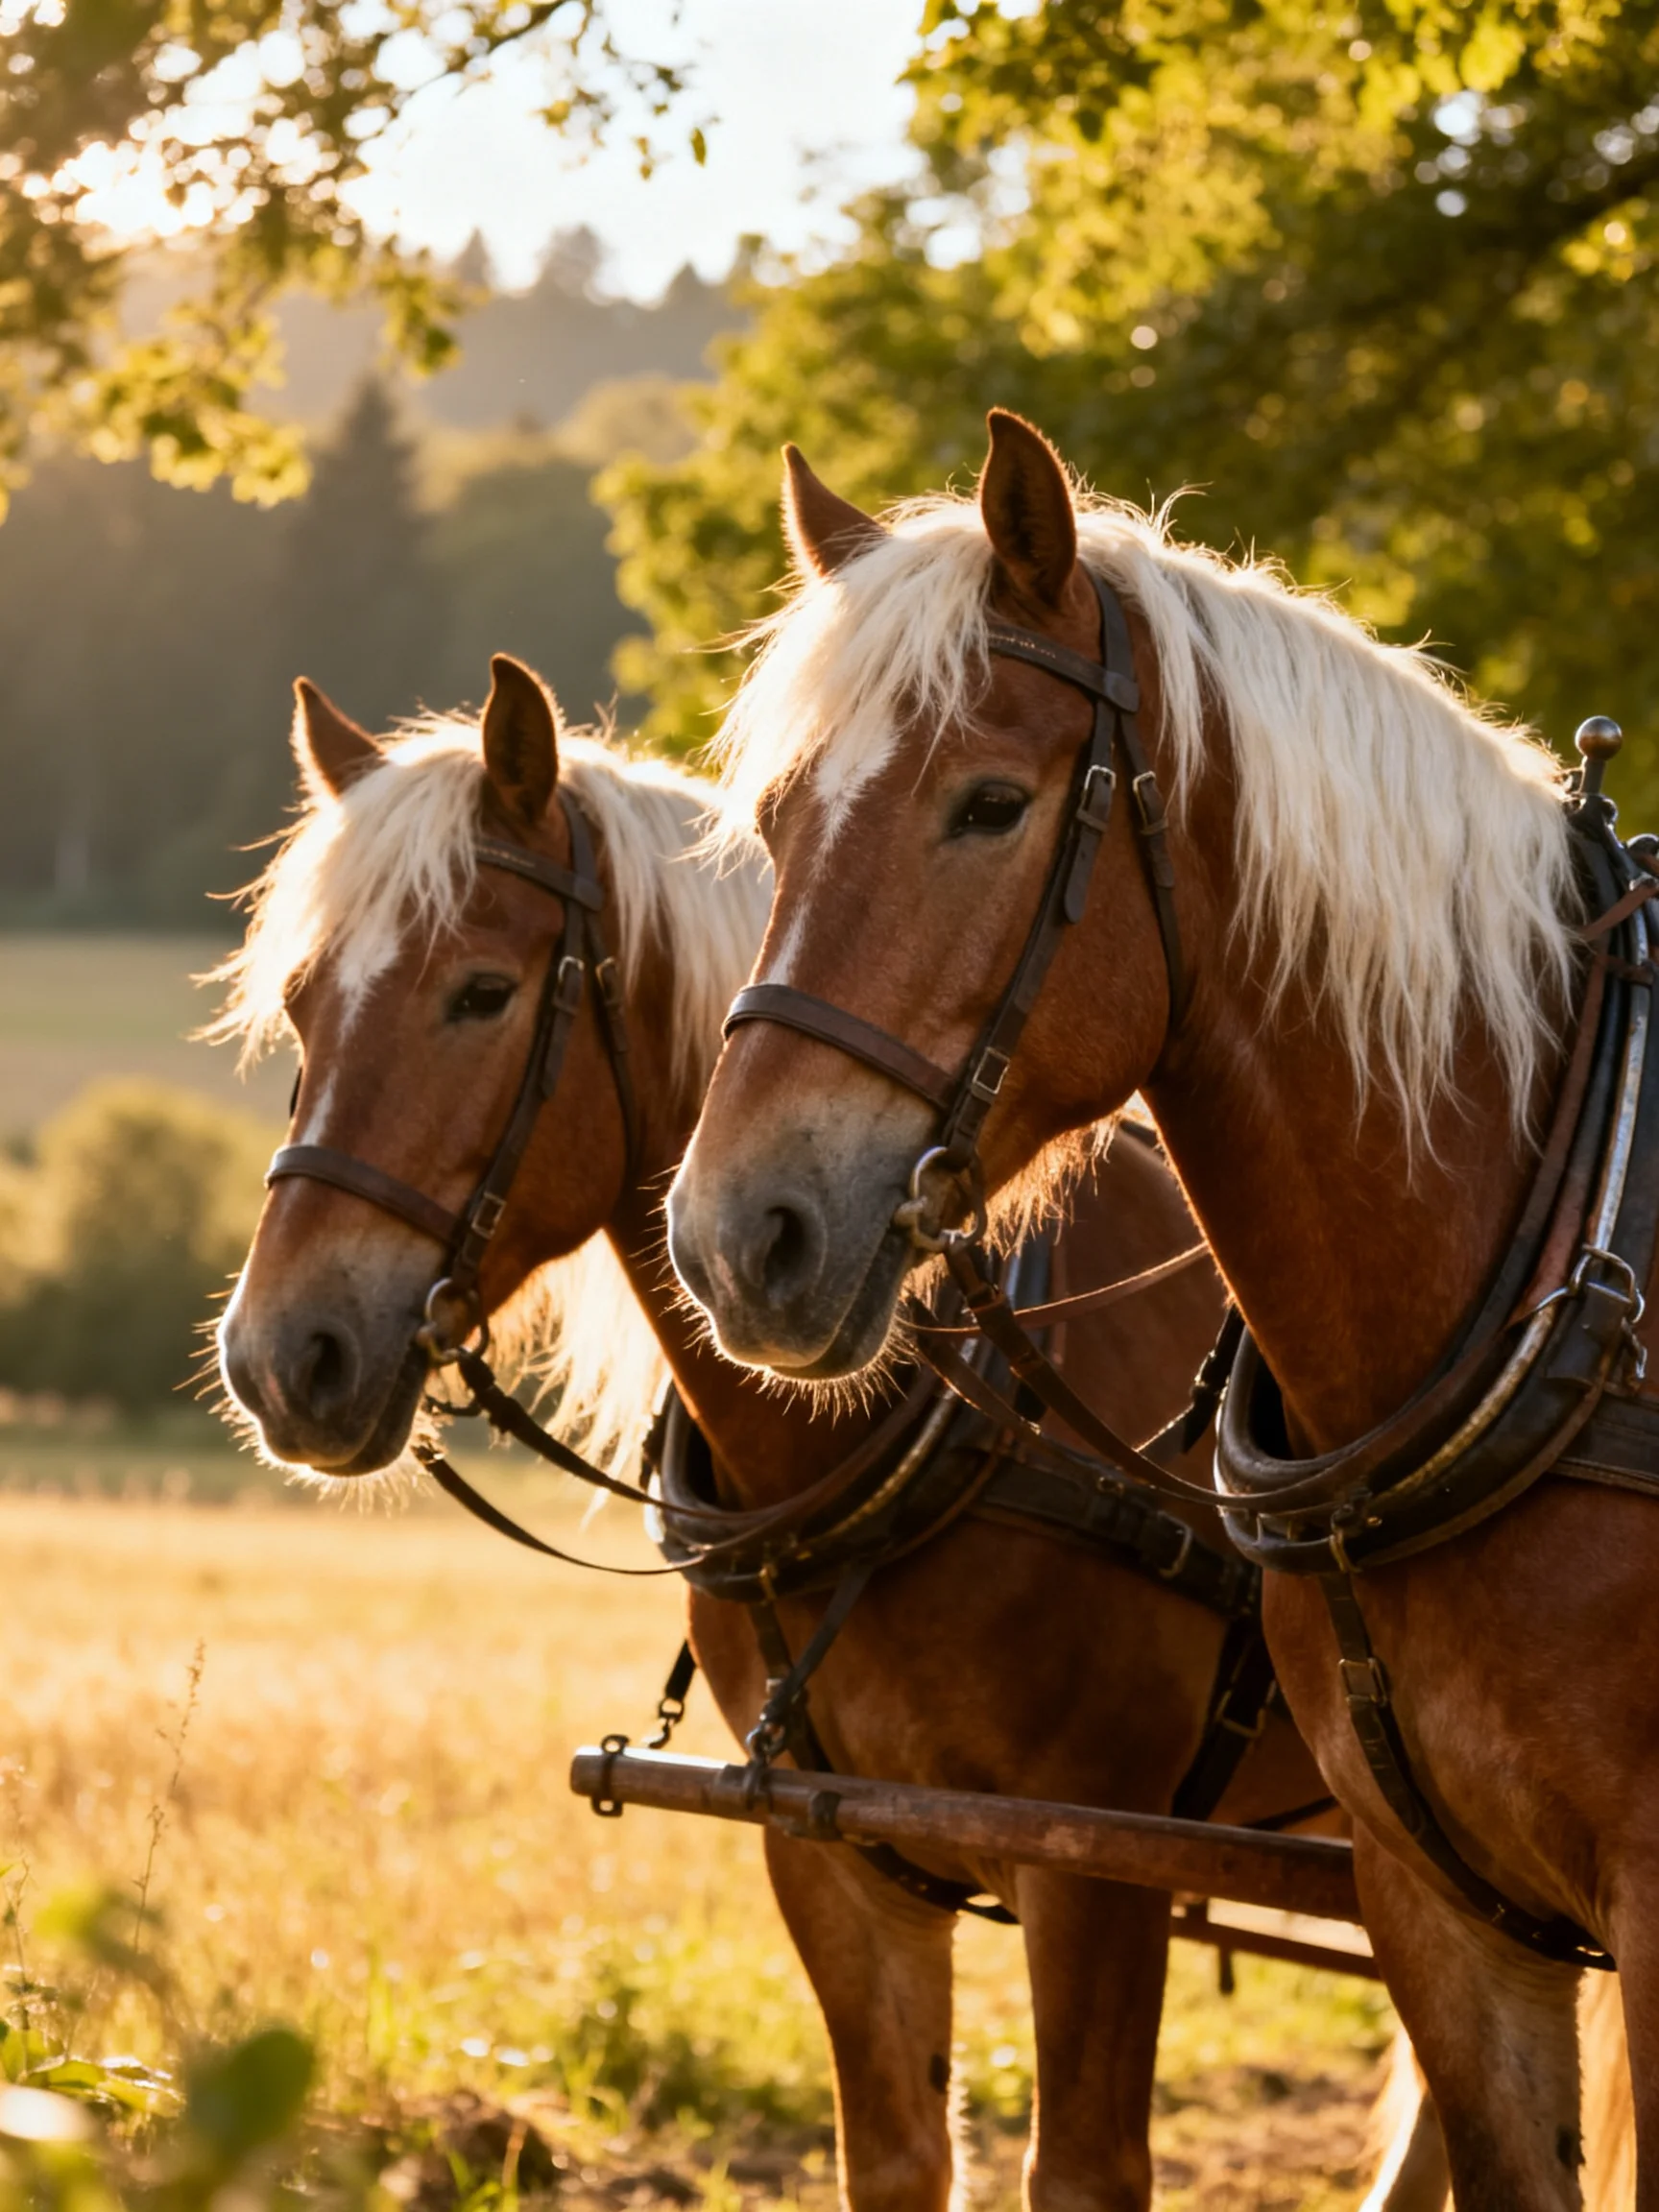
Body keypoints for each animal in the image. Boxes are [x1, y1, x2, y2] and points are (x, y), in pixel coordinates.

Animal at [214, 656, 1447, 2212]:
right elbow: (897, 2156)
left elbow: (1083, 2165)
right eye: (303, 1004)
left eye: (482, 993)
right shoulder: (833, 1857)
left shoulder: (1097, 1864)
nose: (279, 1357)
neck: (924, 1429)